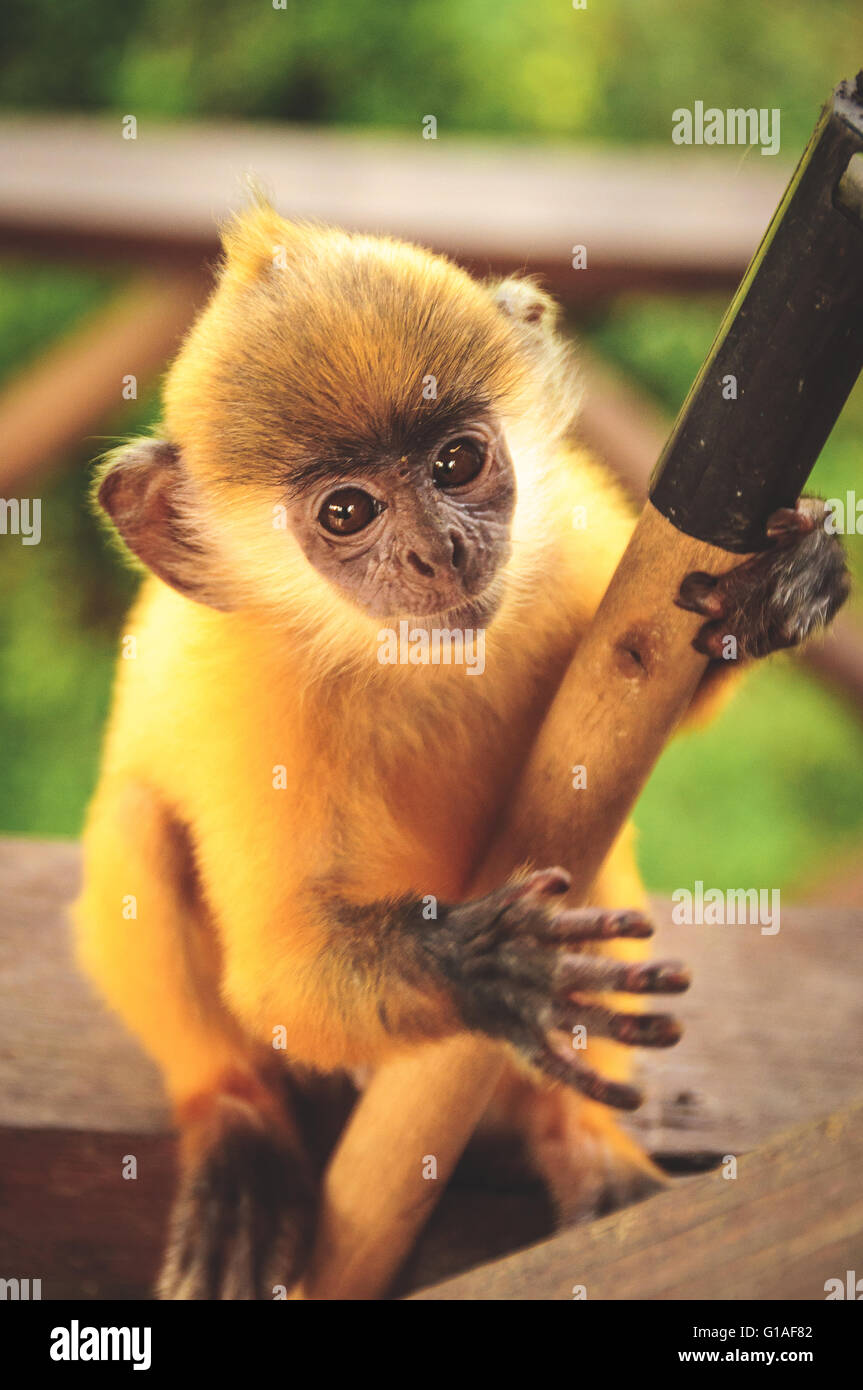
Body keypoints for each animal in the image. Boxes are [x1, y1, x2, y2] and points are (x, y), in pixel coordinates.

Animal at [75, 201, 850, 1295]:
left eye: (454, 463)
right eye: (347, 511)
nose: (435, 550)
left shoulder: (578, 533)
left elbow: (658, 658)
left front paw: (785, 581)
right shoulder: (250, 693)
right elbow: (278, 970)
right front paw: (491, 966)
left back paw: (581, 1138)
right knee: (143, 825)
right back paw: (236, 1125)